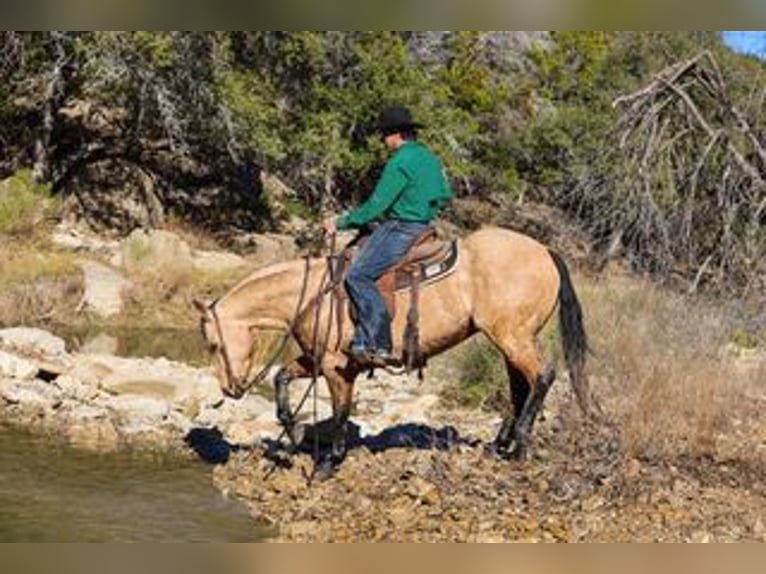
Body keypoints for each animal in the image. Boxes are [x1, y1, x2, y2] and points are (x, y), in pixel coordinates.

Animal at [195, 226, 592, 477]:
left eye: (213, 344)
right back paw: (499, 445)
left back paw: (521, 444)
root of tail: (544, 251)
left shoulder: (336, 367)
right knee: (519, 386)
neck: (311, 296)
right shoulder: (314, 360)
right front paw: (293, 432)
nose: (229, 390)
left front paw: (329, 462)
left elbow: (340, 413)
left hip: (513, 336)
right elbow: (281, 378)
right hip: (510, 339)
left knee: (542, 375)